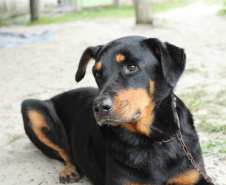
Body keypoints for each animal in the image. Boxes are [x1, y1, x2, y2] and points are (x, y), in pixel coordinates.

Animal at [20, 36, 213, 185]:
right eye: (96, 73)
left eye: (132, 67)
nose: (99, 107)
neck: (153, 139)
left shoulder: (195, 175)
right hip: (30, 107)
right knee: (63, 153)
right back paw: (69, 171)